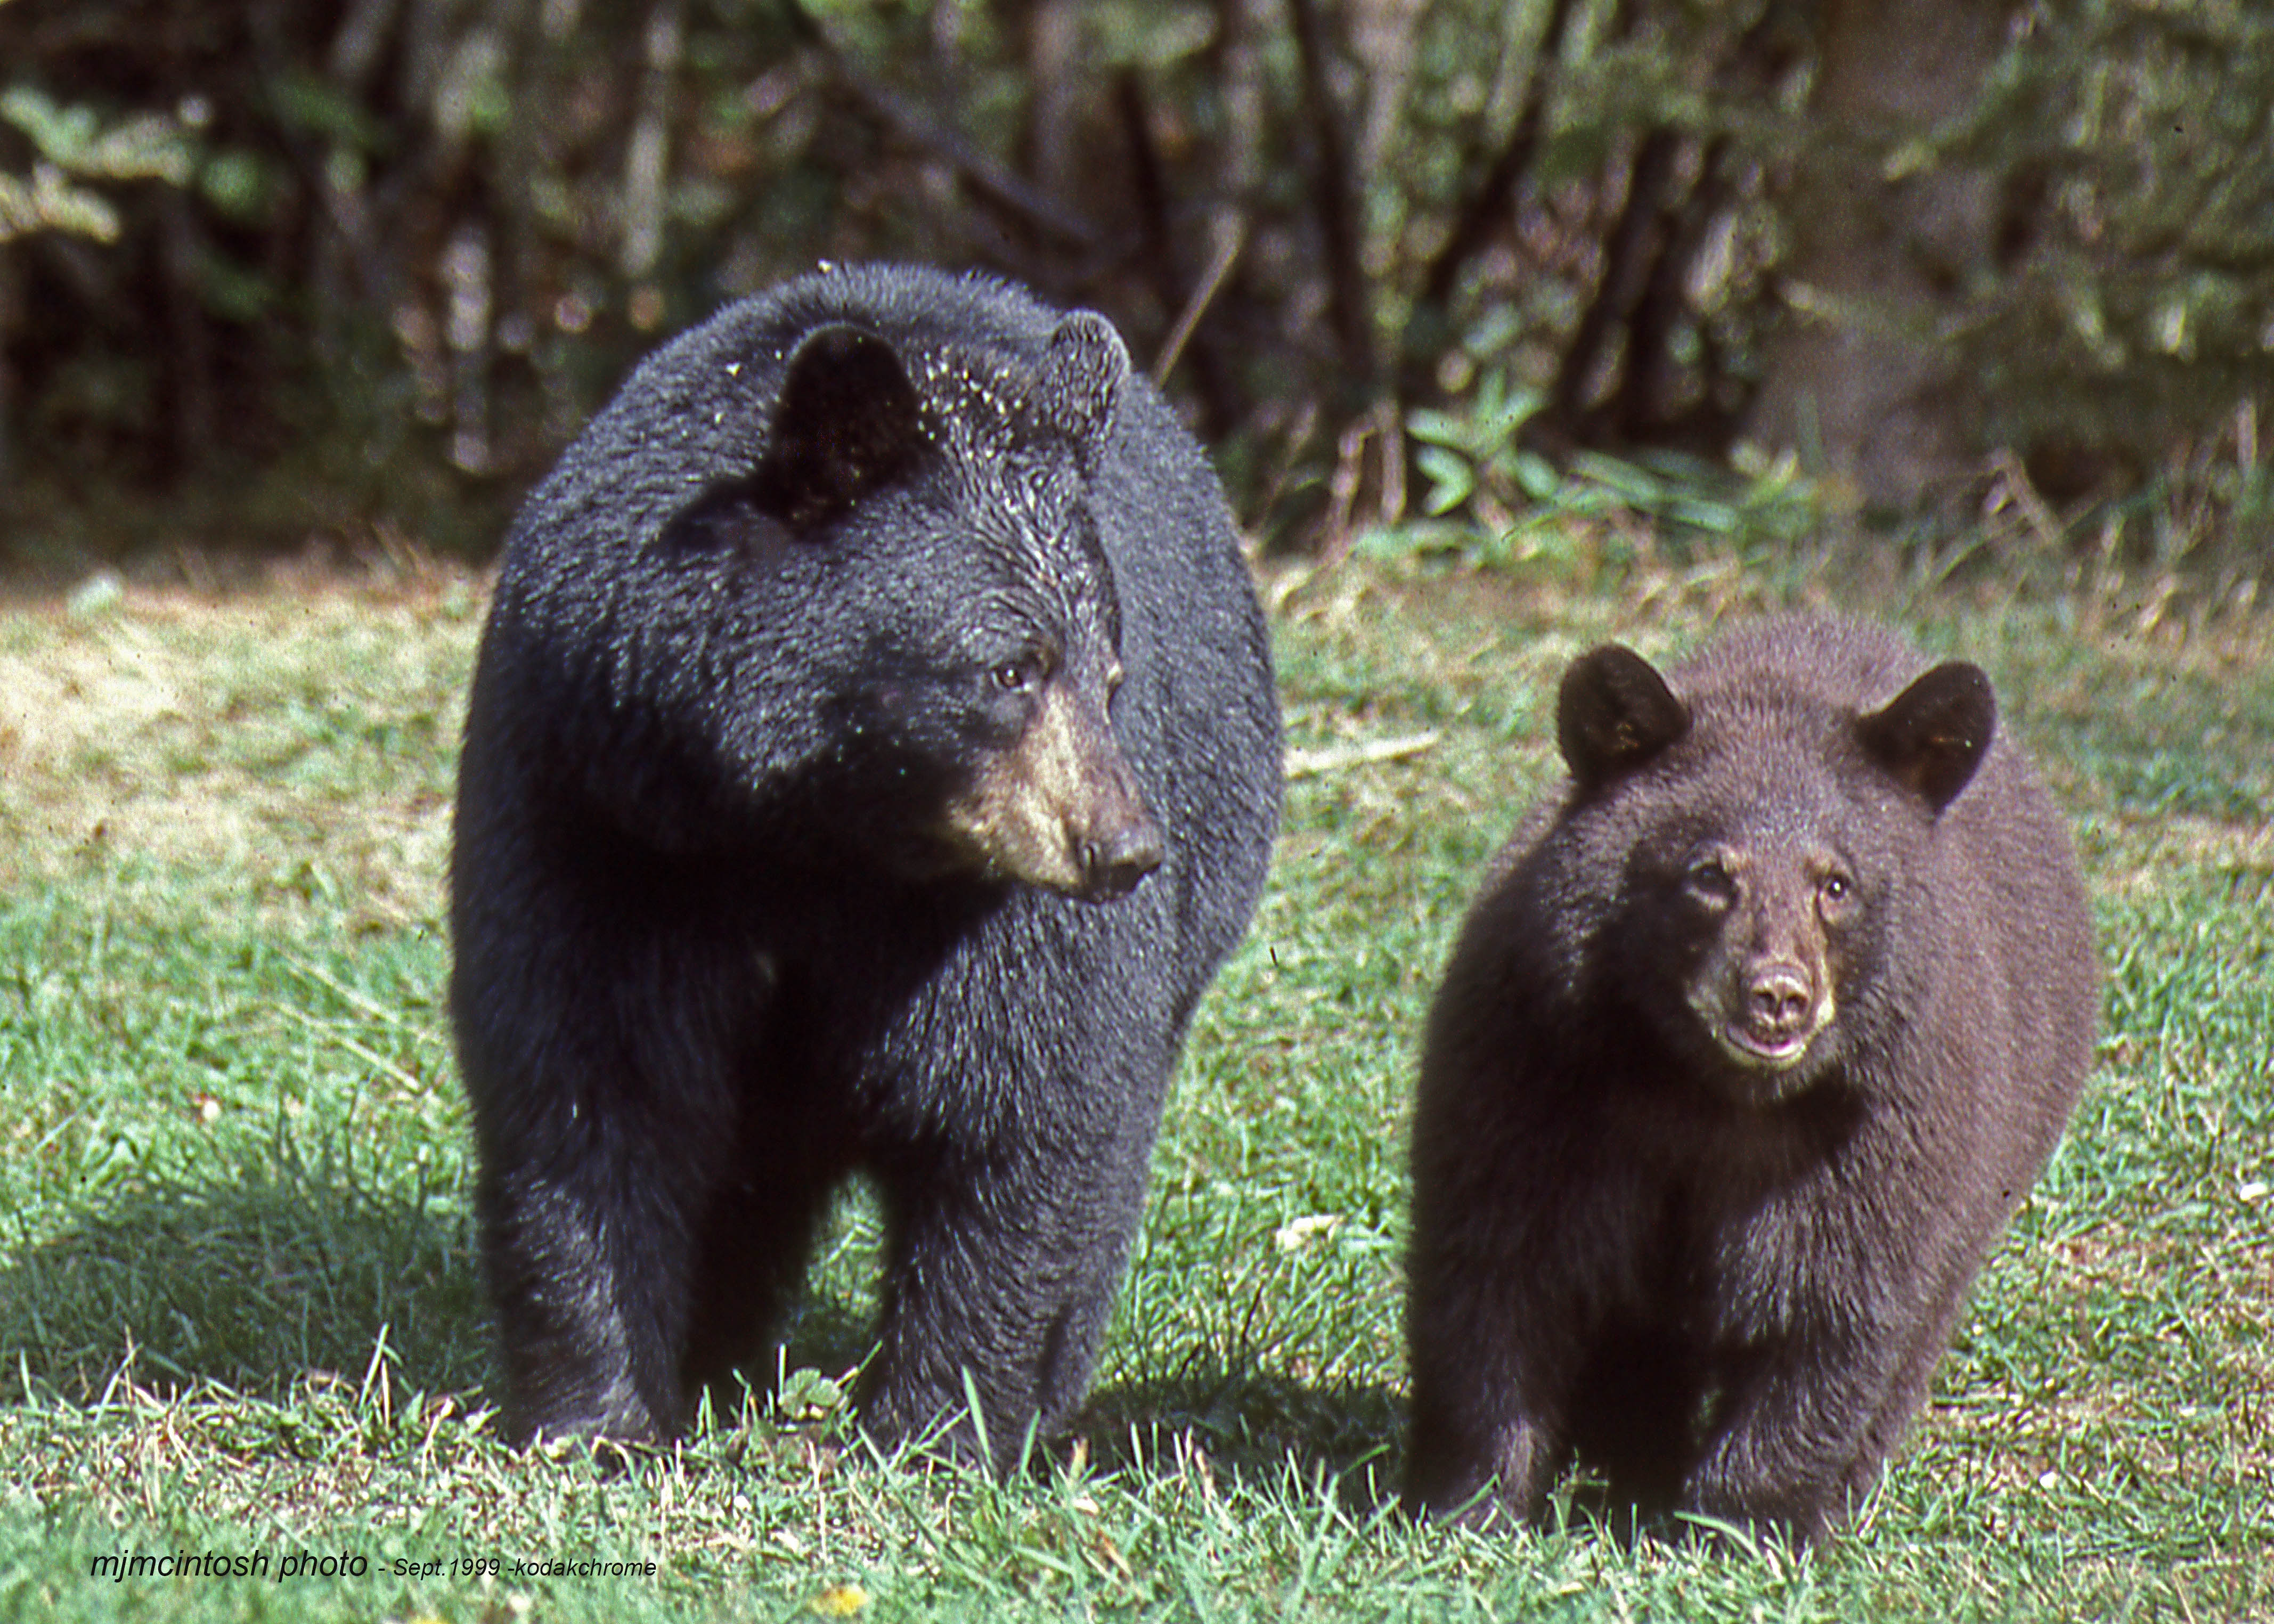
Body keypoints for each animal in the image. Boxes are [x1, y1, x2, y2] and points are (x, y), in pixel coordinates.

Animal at [452, 263, 1291, 1455]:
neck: (814, 828)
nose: (1125, 849)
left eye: (1110, 673)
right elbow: (590, 1082)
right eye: (1009, 668)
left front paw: (937, 1427)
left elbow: (1025, 1103)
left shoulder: (994, 914)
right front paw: (596, 1419)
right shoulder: (599, 804)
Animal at [1400, 614, 2092, 1537]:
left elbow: (1829, 1311)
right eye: (1708, 873)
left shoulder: (1878, 1131)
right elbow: (1495, 1267)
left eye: (1835, 883)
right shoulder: (1535, 1067)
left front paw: (1741, 1525)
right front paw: (1465, 1506)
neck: (1706, 1089)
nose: (1777, 995)